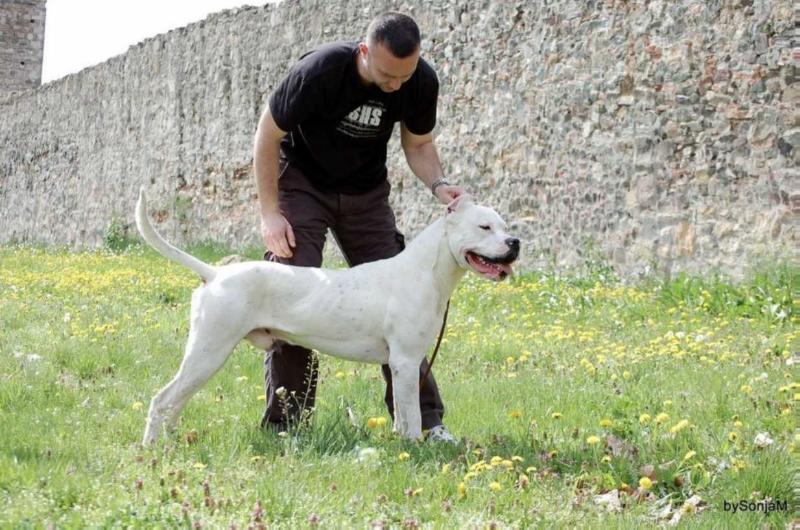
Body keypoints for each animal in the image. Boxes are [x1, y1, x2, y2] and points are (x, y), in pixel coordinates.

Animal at [137, 190, 520, 442]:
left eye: (505, 226)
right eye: (485, 227)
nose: (515, 242)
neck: (426, 270)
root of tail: (215, 273)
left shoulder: (402, 364)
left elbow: (401, 411)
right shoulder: (407, 361)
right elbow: (411, 415)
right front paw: (414, 449)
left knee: (175, 403)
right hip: (209, 350)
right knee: (162, 400)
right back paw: (153, 449)